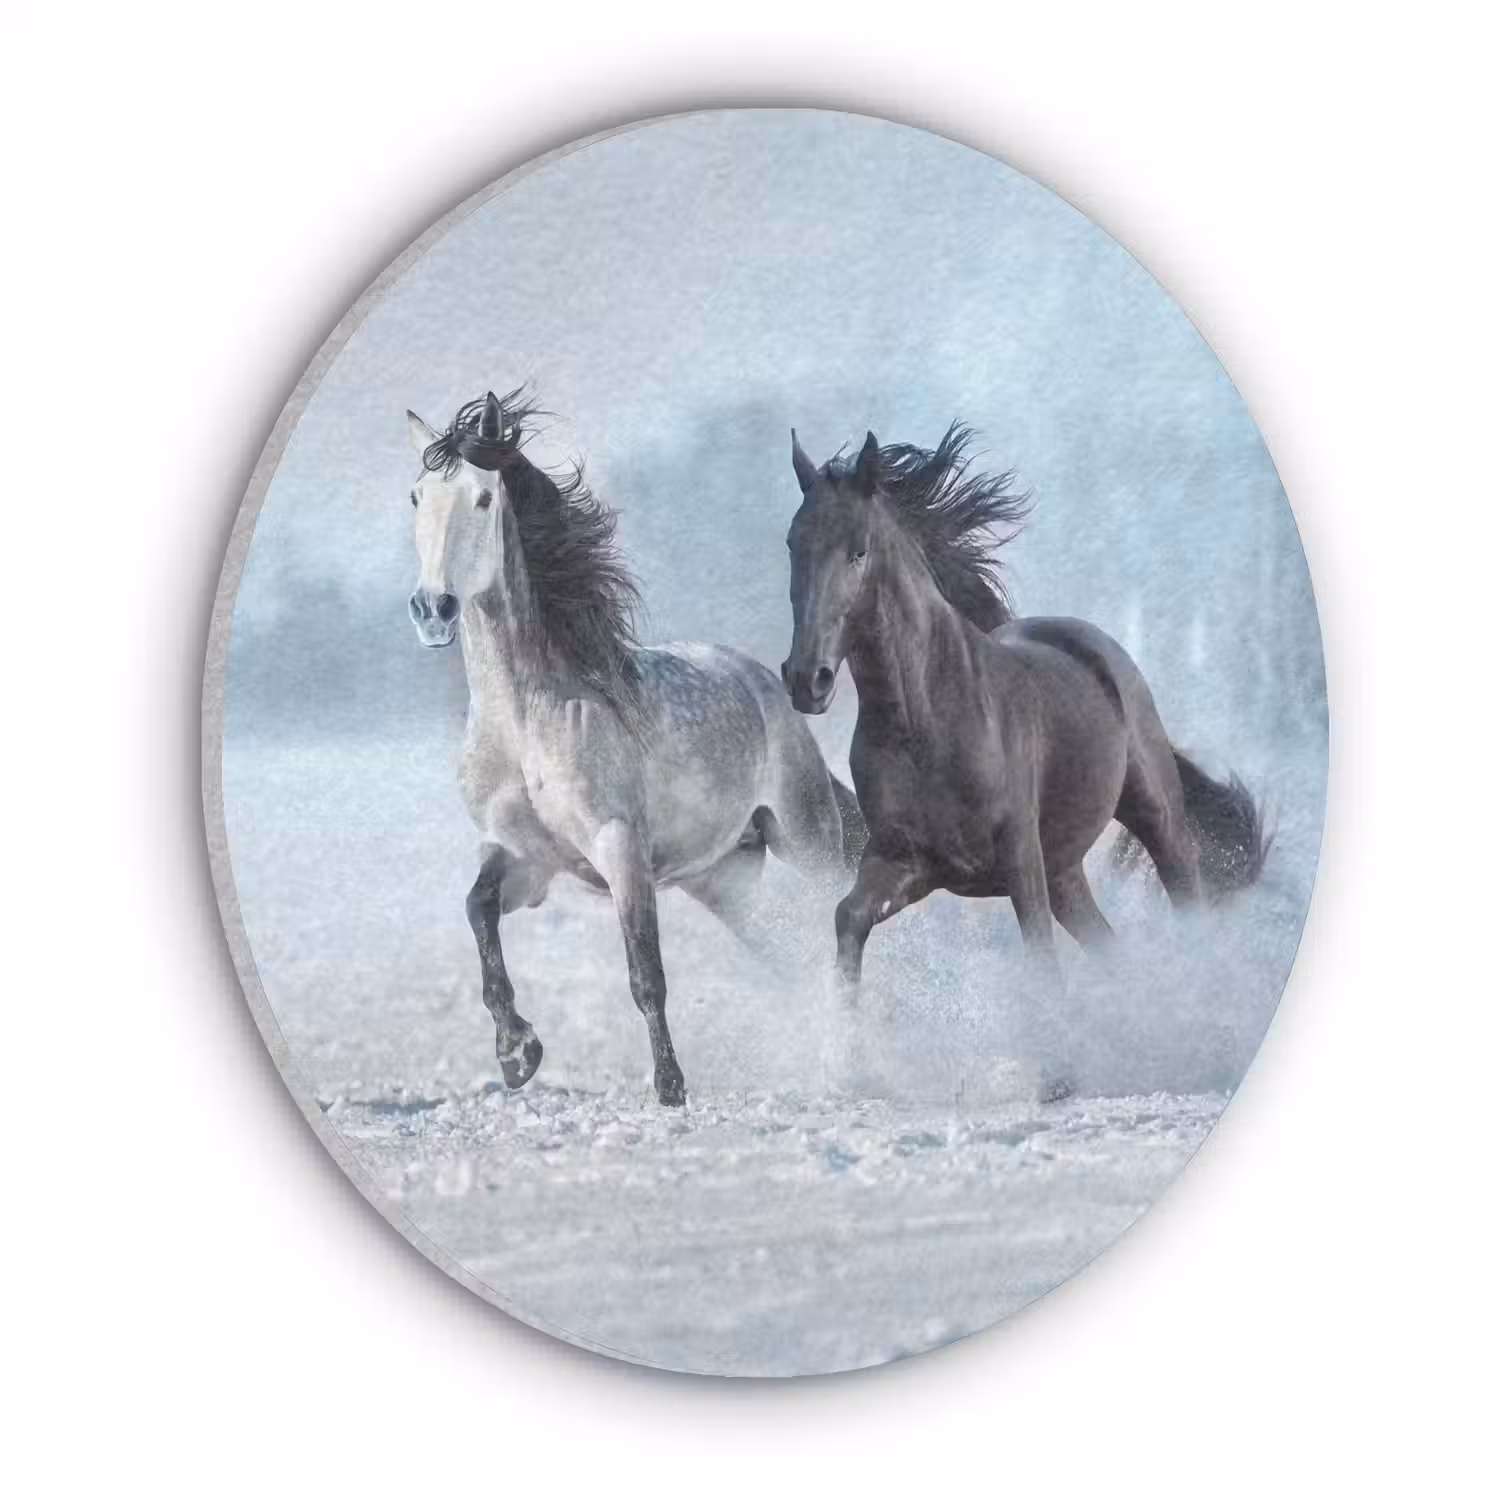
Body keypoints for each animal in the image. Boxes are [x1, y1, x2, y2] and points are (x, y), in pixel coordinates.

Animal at [405, 391, 862, 1106]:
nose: (434, 609)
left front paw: (670, 1087)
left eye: (482, 499)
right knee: (791, 954)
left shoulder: (620, 849)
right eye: (417, 496)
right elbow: (478, 912)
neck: (527, 720)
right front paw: (517, 1052)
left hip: (806, 839)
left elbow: (646, 972)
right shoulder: (524, 857)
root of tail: (763, 680)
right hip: (723, 881)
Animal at [779, 423, 1267, 1088]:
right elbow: (848, 919)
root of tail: (1094, 644)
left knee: (1184, 899)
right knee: (1109, 947)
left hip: (1152, 815)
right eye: (793, 545)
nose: (808, 679)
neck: (925, 719)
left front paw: (1057, 1078)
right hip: (1064, 871)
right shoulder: (910, 861)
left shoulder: (1017, 859)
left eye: (858, 551)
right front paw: (849, 1066)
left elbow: (1038, 955)